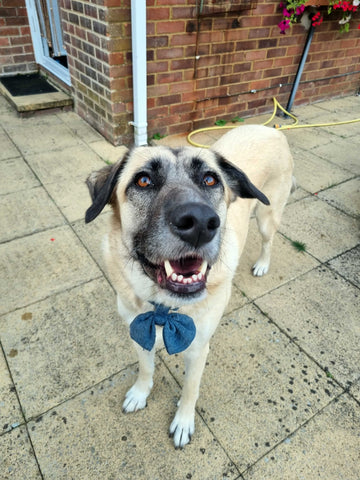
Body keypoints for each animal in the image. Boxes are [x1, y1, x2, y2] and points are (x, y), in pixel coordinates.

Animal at [86, 125, 294, 448]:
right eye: (143, 180)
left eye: (210, 179)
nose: (200, 222)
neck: (163, 308)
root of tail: (271, 128)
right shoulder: (138, 332)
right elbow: (146, 368)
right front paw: (140, 393)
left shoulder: (197, 350)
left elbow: (190, 389)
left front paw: (183, 422)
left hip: (266, 216)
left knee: (268, 240)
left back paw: (262, 264)